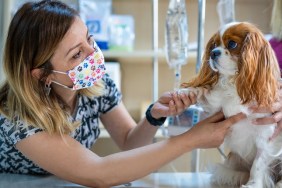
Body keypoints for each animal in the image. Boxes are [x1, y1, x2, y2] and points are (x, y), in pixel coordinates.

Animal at [181, 21, 282, 187]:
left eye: (232, 44)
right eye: (214, 45)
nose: (213, 53)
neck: (234, 83)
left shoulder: (265, 134)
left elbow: (258, 164)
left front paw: (253, 184)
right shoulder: (217, 106)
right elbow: (204, 94)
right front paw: (185, 93)